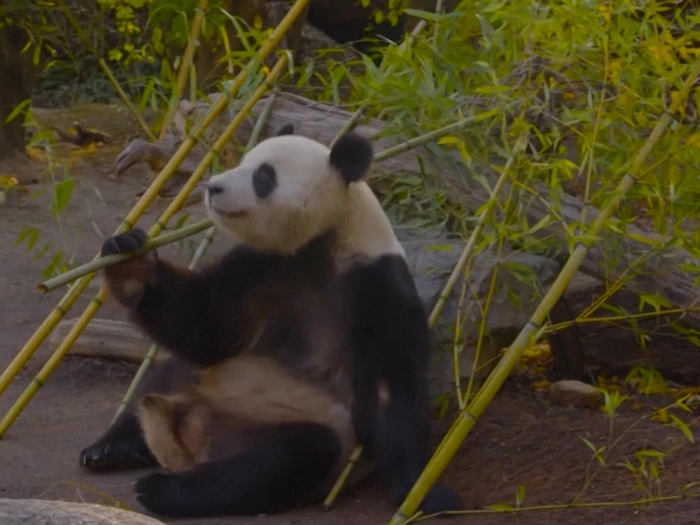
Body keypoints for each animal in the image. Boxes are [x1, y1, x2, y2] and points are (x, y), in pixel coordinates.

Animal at [78, 125, 463, 518]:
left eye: (263, 176)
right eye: (244, 161)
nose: (213, 187)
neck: (324, 239)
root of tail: (191, 439)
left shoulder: (375, 285)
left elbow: (391, 393)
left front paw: (425, 493)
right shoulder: (263, 267)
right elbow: (207, 325)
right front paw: (131, 264)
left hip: (284, 427)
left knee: (284, 459)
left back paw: (162, 489)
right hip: (198, 384)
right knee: (166, 374)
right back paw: (109, 449)